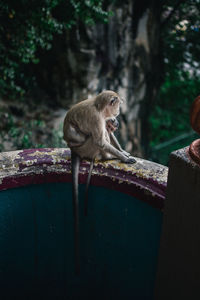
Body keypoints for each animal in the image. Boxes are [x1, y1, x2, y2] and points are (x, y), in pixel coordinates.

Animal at [63, 89, 137, 274]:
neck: (98, 106)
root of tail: (74, 150)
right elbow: (100, 141)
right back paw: (106, 157)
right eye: (117, 105)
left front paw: (123, 152)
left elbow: (107, 133)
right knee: (96, 140)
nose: (118, 112)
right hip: (86, 148)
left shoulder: (104, 118)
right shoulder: (97, 118)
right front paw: (123, 158)